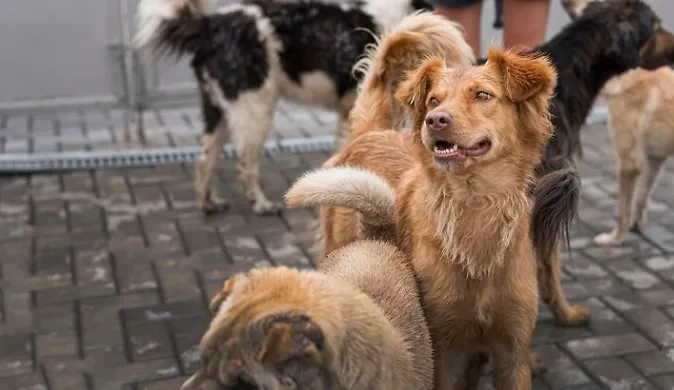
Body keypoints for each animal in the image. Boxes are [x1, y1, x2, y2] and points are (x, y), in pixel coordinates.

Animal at [134, 0, 434, 216]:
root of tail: (211, 25)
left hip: (218, 111)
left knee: (204, 159)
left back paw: (208, 203)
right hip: (255, 109)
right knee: (244, 165)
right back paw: (262, 205)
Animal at [288, 47, 576, 388]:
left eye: (483, 95)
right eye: (434, 100)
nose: (435, 120)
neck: (474, 207)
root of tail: (370, 133)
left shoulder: (511, 353)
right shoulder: (441, 352)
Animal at [592, 65, 672, 245]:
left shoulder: (628, 163)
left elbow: (622, 210)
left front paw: (614, 239)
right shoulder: (653, 160)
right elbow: (641, 197)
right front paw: (636, 225)